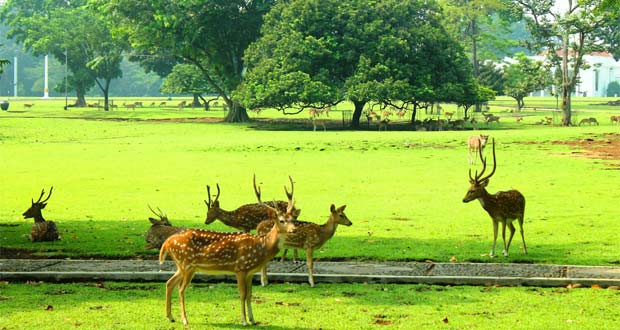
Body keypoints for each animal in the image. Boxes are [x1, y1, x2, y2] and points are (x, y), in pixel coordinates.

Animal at [159, 191, 296, 324]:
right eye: (282, 220)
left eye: (293, 219)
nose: (294, 229)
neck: (262, 247)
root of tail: (167, 242)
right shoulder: (240, 268)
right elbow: (242, 294)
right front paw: (244, 321)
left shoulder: (250, 272)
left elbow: (250, 294)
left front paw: (253, 320)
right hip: (187, 264)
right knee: (181, 289)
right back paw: (184, 319)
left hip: (182, 265)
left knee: (169, 282)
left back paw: (170, 317)